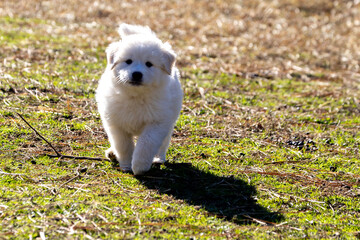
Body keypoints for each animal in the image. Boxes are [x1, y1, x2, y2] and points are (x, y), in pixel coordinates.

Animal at [95, 23, 183, 174]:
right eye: (128, 61)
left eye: (149, 64)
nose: (137, 74)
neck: (135, 96)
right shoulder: (116, 123)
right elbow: (123, 145)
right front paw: (126, 165)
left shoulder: (157, 122)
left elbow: (146, 144)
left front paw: (139, 166)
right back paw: (112, 153)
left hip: (170, 120)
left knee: (164, 143)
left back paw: (158, 158)